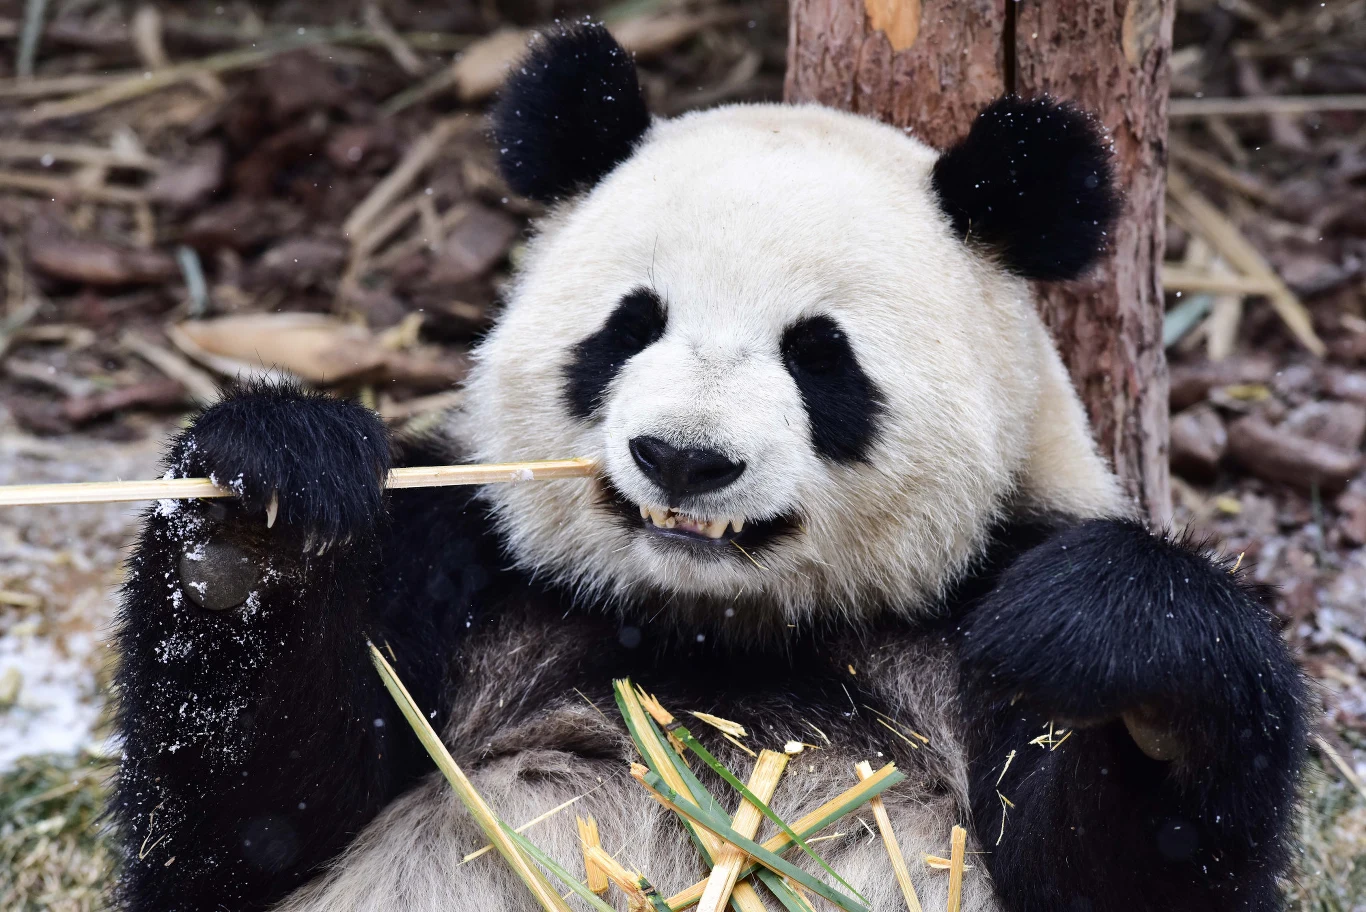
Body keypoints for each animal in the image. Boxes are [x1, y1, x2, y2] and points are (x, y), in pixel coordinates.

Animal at [110, 23, 1308, 912]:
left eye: (821, 357)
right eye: (630, 327)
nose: (682, 459)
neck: (709, 627)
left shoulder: (961, 614)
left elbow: (1123, 863)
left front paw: (1117, 651)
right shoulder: (466, 575)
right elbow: (246, 828)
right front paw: (253, 525)